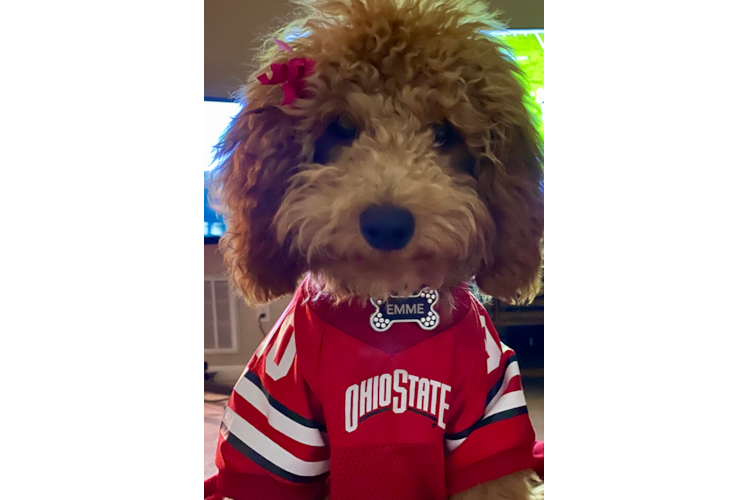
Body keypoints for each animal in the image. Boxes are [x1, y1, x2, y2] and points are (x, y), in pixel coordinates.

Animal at [205, 0, 544, 500]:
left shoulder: (488, 414)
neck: (392, 307)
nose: (387, 224)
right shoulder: (277, 422)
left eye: (444, 133)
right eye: (341, 127)